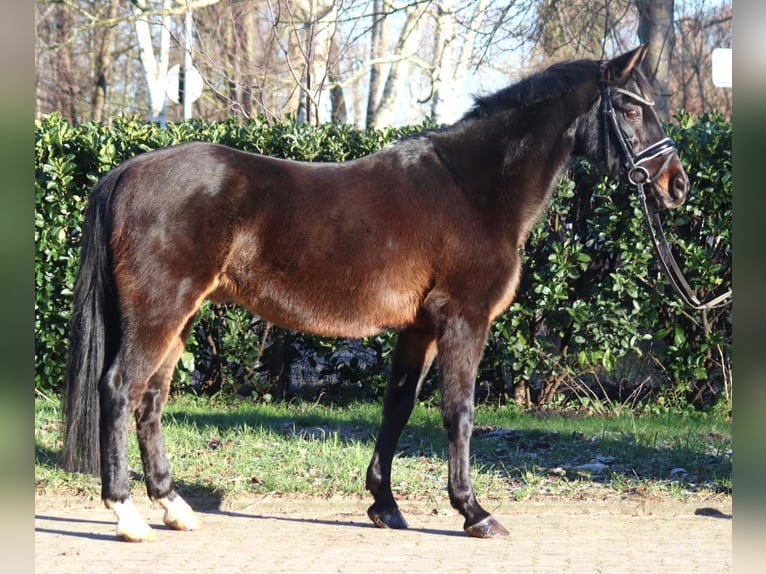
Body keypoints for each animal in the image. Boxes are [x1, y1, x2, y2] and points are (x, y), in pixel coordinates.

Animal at [58, 46, 684, 544]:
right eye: (631, 107)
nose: (675, 184)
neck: (473, 188)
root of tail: (127, 172)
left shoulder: (420, 327)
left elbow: (398, 409)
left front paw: (385, 506)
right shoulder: (464, 321)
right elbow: (458, 413)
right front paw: (474, 512)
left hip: (179, 319)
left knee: (151, 401)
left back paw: (174, 508)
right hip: (158, 313)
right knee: (119, 389)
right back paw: (127, 516)